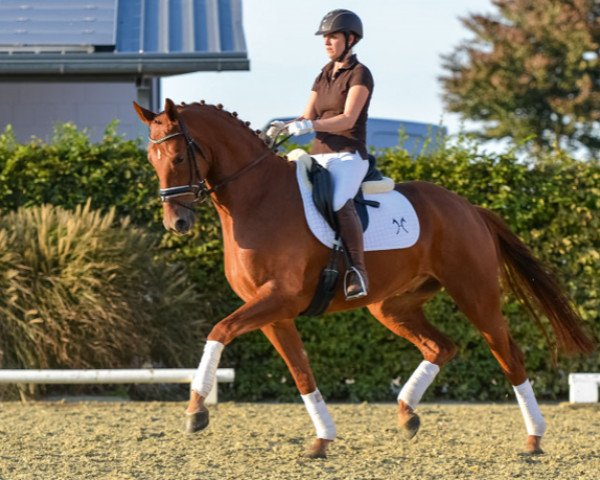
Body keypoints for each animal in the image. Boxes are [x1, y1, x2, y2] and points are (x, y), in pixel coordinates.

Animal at [134, 98, 592, 458]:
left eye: (178, 157)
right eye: (151, 160)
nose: (177, 223)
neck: (256, 198)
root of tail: (469, 207)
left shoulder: (280, 298)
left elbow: (219, 330)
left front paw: (196, 411)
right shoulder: (273, 312)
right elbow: (301, 372)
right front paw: (322, 439)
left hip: (475, 294)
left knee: (508, 355)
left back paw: (533, 438)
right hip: (391, 306)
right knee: (442, 346)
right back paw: (407, 414)